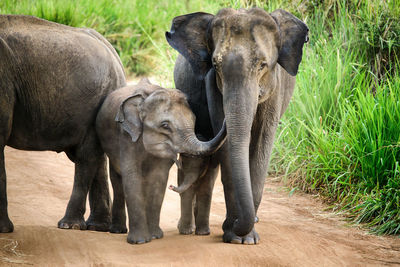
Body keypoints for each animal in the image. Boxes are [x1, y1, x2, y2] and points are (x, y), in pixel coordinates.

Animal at [94, 78, 225, 245]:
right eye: (165, 126)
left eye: (194, 120)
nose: (172, 186)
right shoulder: (125, 137)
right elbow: (132, 178)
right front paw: (139, 241)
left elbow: (159, 179)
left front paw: (155, 236)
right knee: (117, 182)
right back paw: (118, 231)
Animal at [166, 7, 310, 245]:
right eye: (215, 65)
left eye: (262, 65)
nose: (232, 224)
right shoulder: (212, 86)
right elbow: (226, 151)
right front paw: (235, 236)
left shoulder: (276, 87)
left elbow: (262, 144)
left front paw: (247, 238)